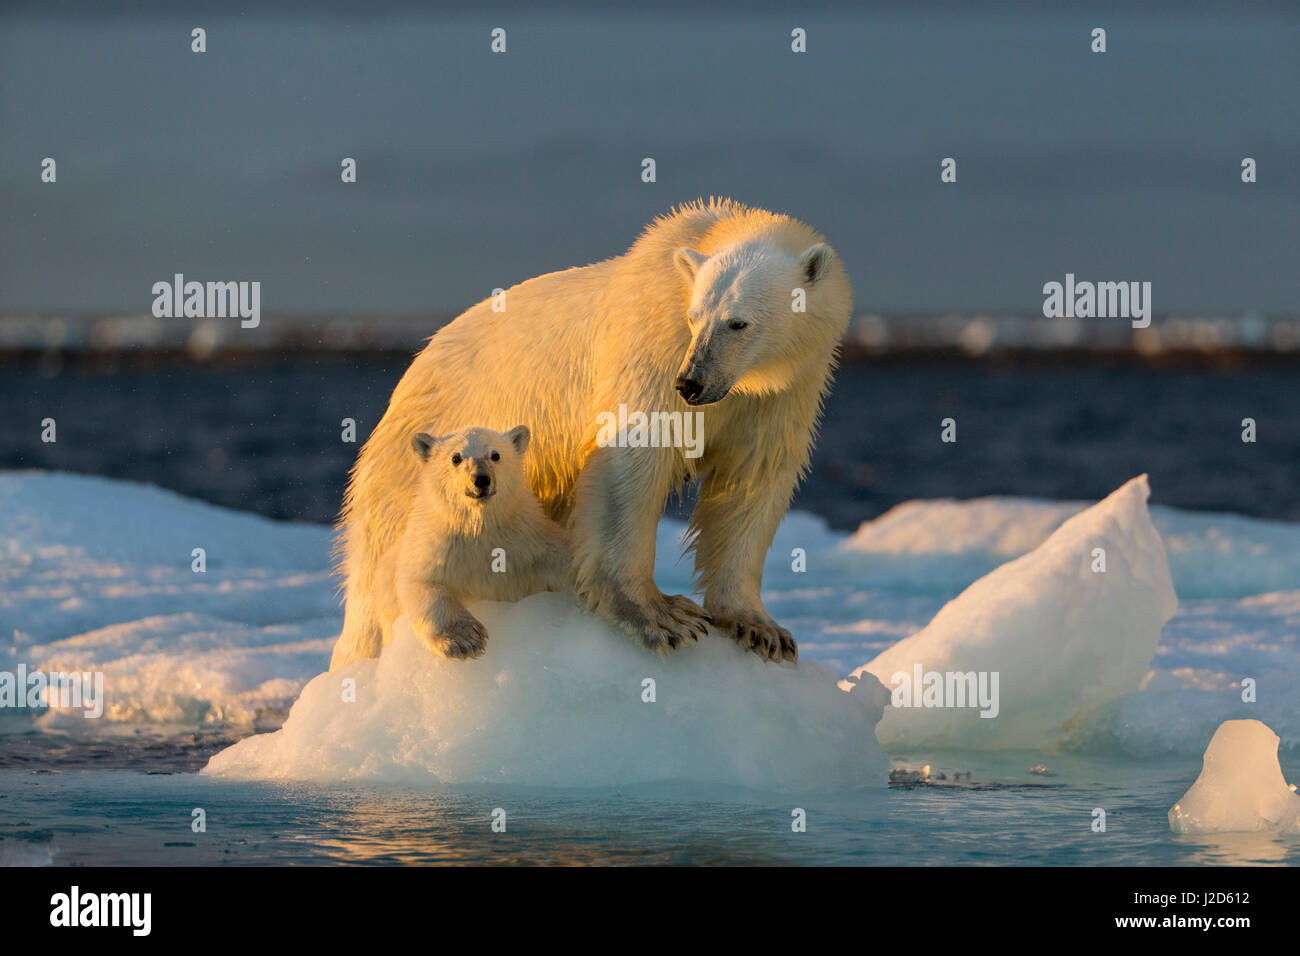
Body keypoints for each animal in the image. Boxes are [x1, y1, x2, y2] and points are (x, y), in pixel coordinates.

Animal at [330, 197, 847, 671]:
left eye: (738, 322)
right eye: (695, 317)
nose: (692, 383)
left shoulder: (784, 391)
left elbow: (754, 477)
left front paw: (759, 628)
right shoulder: (654, 348)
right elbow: (632, 458)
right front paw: (662, 616)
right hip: (417, 464)